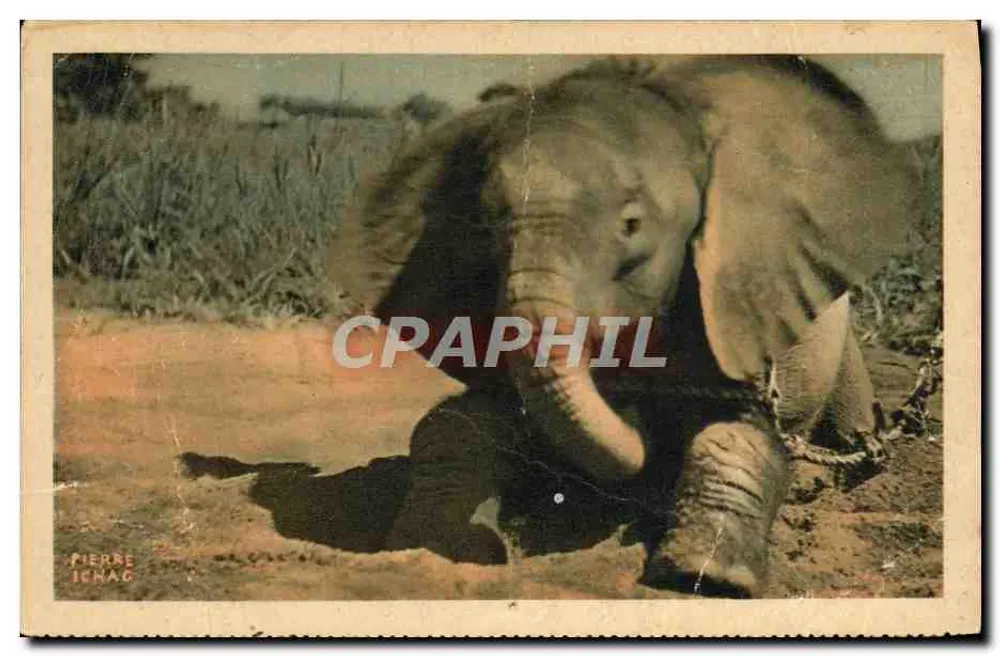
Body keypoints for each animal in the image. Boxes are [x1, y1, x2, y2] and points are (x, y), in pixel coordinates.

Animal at [333, 55, 919, 597]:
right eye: (485, 228)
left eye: (632, 227)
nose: (635, 410)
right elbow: (456, 422)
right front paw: (433, 548)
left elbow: (740, 431)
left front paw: (705, 578)